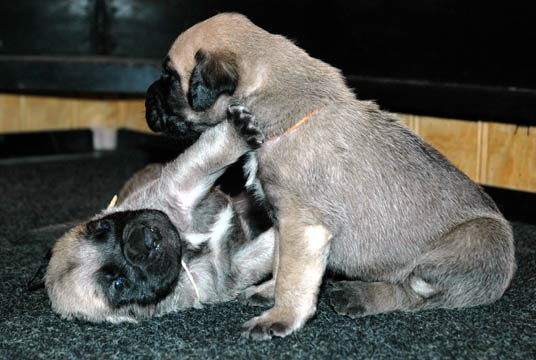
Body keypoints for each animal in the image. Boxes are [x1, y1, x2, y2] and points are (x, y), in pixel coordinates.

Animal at [44, 107, 274, 324]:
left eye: (104, 226)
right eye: (119, 284)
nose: (146, 240)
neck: (184, 243)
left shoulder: (178, 186)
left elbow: (209, 156)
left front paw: (237, 131)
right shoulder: (225, 272)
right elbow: (263, 252)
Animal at [144, 13, 516, 340]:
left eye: (170, 77)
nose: (146, 99)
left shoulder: (303, 224)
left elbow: (293, 277)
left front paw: (281, 316)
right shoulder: (285, 223)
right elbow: (281, 264)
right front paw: (269, 292)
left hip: (461, 247)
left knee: (417, 295)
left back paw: (360, 296)